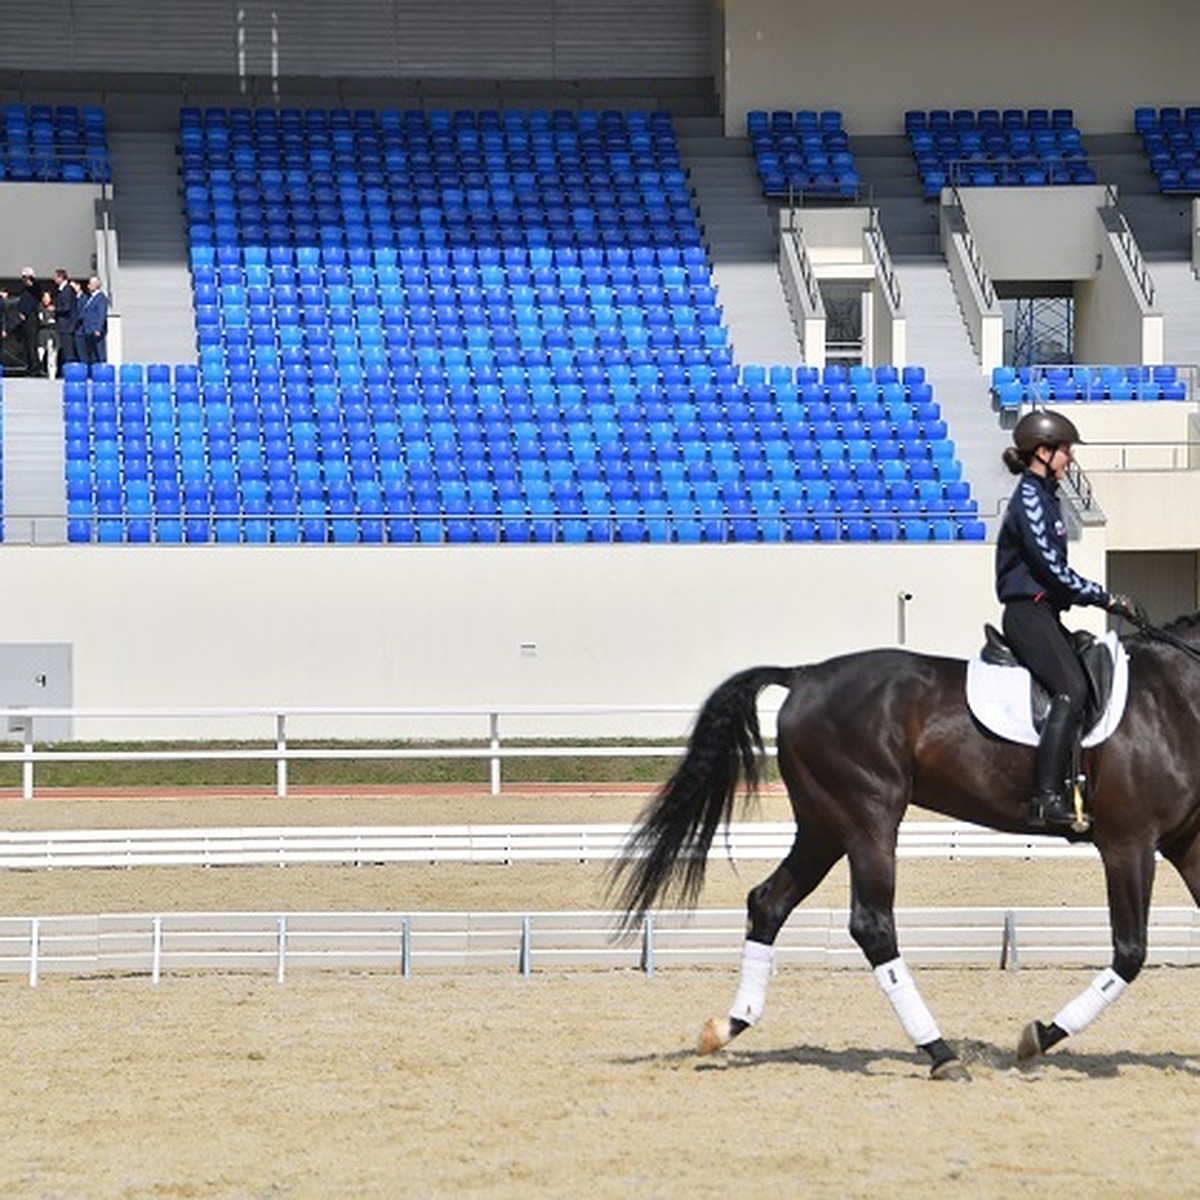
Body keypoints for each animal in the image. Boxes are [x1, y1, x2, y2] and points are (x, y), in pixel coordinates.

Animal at [604, 614, 1200, 1084]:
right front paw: (1037, 1037)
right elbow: (1130, 952)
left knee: (769, 901)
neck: (1174, 699)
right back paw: (940, 1053)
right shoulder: (1128, 842)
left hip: (823, 826)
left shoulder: (1186, 843)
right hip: (869, 817)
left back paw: (728, 1026)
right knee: (872, 924)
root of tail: (805, 675)